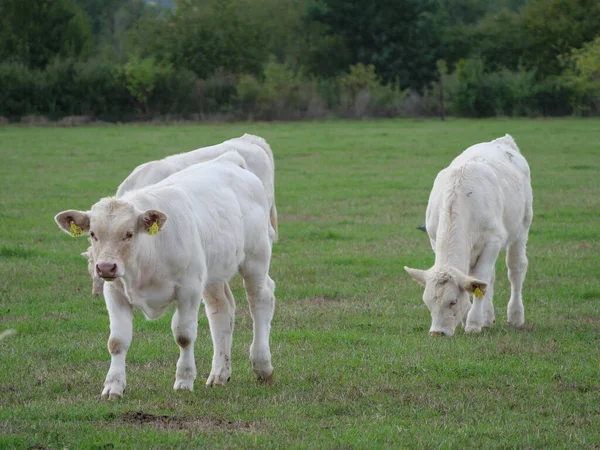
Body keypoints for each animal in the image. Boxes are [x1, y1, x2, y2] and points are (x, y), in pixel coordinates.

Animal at [55, 153, 276, 400]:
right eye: (93, 234)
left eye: (129, 234)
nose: (105, 267)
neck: (147, 256)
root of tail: (229, 159)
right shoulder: (115, 292)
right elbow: (117, 341)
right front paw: (113, 385)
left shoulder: (189, 290)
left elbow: (184, 336)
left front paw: (184, 380)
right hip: (214, 272)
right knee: (221, 311)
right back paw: (220, 373)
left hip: (256, 259)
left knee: (261, 300)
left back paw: (262, 365)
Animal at [406, 134, 532, 338]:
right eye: (427, 303)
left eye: (453, 301)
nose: (437, 332)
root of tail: (503, 141)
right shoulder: (434, 238)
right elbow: (476, 280)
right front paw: (470, 318)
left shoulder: (492, 240)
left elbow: (481, 276)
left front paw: (473, 322)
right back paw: (488, 317)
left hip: (522, 226)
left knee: (516, 268)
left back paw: (515, 316)